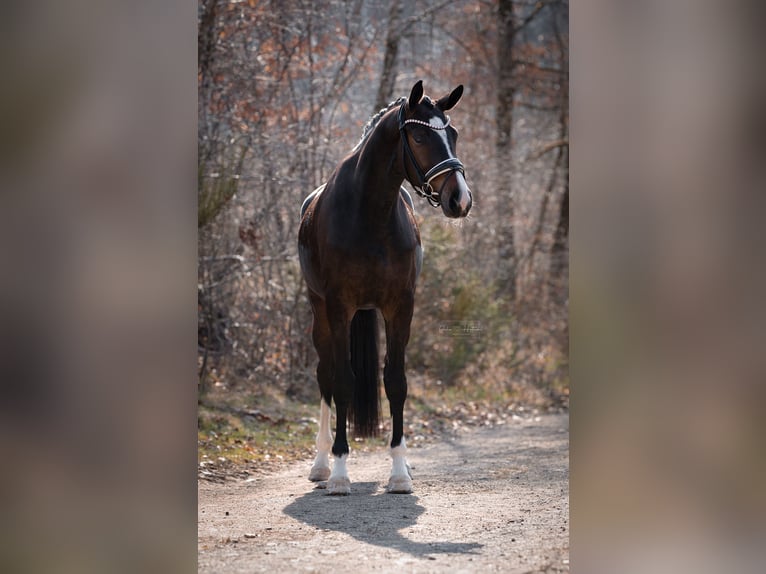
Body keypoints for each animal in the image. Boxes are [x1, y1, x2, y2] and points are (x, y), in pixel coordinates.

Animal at [298, 80, 472, 495]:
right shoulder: (339, 307)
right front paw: (340, 472)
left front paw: (398, 472)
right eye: (421, 136)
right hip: (319, 313)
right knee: (325, 376)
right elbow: (343, 381)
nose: (460, 199)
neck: (369, 214)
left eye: (454, 135)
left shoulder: (400, 307)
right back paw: (321, 464)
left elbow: (396, 382)